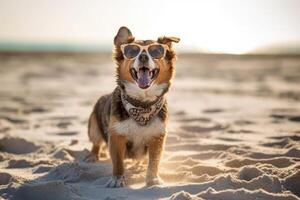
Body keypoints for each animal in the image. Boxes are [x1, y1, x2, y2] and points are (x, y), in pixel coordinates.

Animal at [86, 26, 180, 188]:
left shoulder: (157, 137)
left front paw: (153, 179)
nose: (143, 57)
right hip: (93, 126)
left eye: (156, 51)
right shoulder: (116, 136)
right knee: (96, 143)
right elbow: (118, 162)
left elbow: (154, 162)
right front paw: (117, 179)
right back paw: (93, 156)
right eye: (132, 51)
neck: (142, 105)